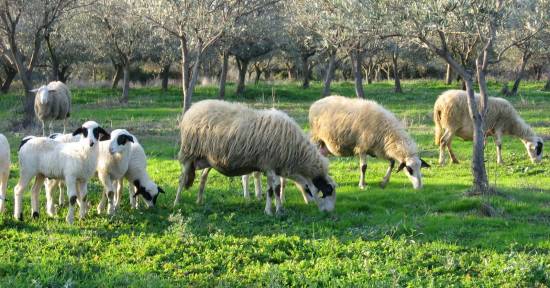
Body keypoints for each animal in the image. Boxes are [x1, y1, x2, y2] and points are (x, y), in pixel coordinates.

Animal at [175, 100, 336, 215]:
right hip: (189, 153)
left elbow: (272, 189)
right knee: (182, 179)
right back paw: (176, 203)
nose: (329, 213)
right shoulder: (269, 164)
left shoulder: (272, 167)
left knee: (203, 178)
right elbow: (274, 189)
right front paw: (274, 211)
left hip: (207, 159)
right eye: (327, 191)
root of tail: (192, 108)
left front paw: (274, 209)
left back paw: (199, 201)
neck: (296, 152)